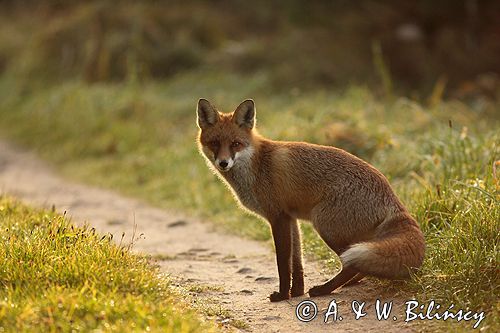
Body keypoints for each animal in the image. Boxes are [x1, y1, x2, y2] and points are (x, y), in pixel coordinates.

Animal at [197, 98, 424, 300]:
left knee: (350, 265)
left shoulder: (277, 217)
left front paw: (282, 295)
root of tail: (393, 198)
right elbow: (297, 262)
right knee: (359, 267)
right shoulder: (290, 218)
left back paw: (324, 290)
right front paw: (297, 292)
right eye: (215, 143)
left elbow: (282, 262)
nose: (223, 163)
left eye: (235, 144)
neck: (256, 165)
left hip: (325, 225)